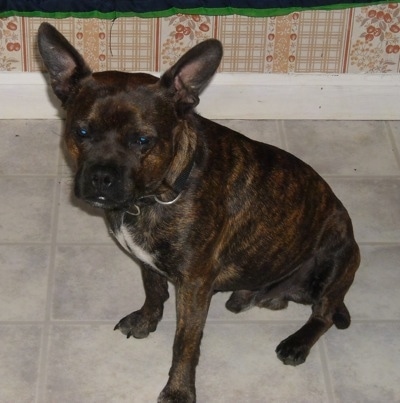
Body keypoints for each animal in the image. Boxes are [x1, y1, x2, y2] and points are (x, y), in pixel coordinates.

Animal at [39, 22, 360, 403]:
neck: (156, 195)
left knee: (323, 314)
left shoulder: (193, 286)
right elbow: (154, 292)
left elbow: (185, 343)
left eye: (143, 141)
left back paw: (297, 343)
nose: (101, 177)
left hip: (338, 256)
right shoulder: (148, 263)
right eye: (81, 132)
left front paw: (178, 389)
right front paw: (146, 320)